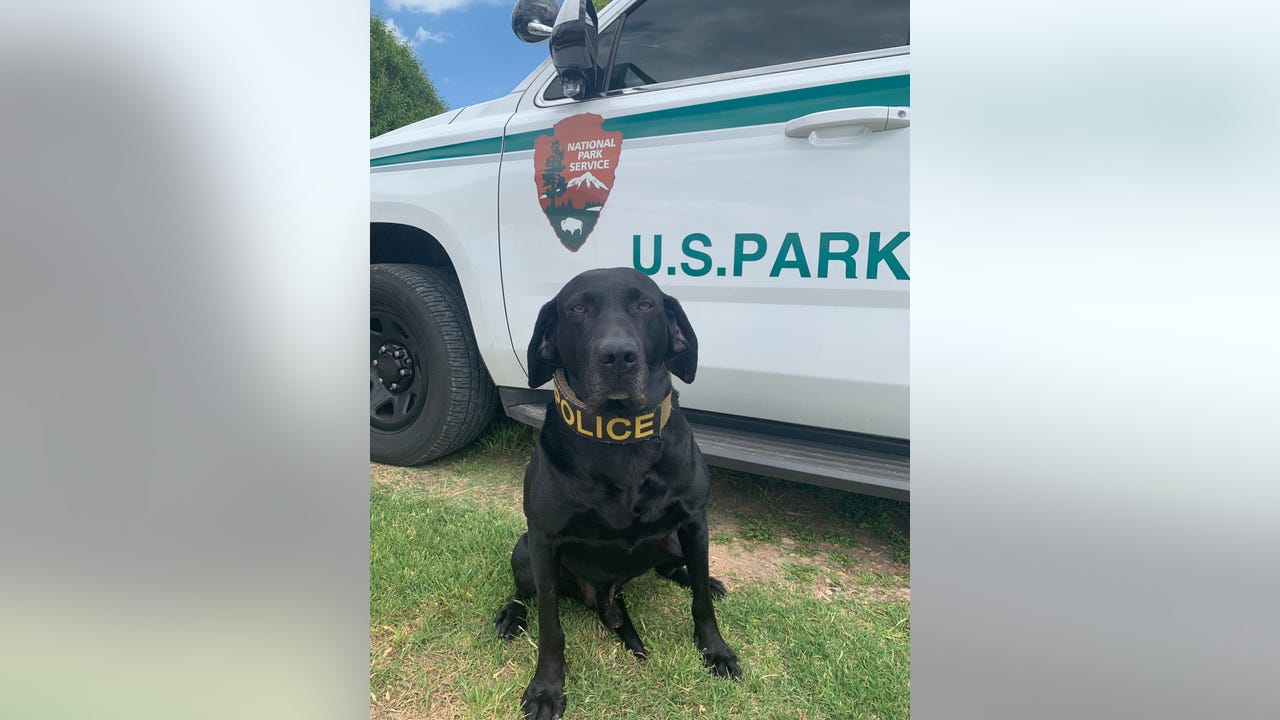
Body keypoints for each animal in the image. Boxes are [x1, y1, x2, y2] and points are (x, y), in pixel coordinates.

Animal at [492, 267, 740, 719]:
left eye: (645, 305)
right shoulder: (543, 539)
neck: (620, 436)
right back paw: (510, 614)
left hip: (671, 540)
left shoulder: (695, 521)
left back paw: (701, 578)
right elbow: (550, 626)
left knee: (676, 569)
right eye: (577, 308)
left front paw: (715, 650)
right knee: (523, 592)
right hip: (524, 549)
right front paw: (546, 689)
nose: (619, 356)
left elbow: (701, 602)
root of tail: (606, 597)